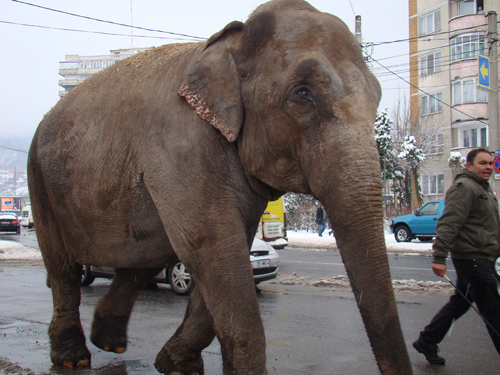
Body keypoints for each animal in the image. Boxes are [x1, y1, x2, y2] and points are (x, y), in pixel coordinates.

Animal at [26, 0, 410, 374]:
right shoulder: (178, 149)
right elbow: (213, 247)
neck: (229, 43)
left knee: (145, 257)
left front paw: (176, 366)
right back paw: (73, 358)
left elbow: (224, 250)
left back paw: (110, 343)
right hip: (40, 182)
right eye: (303, 93)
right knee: (64, 268)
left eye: (377, 96)